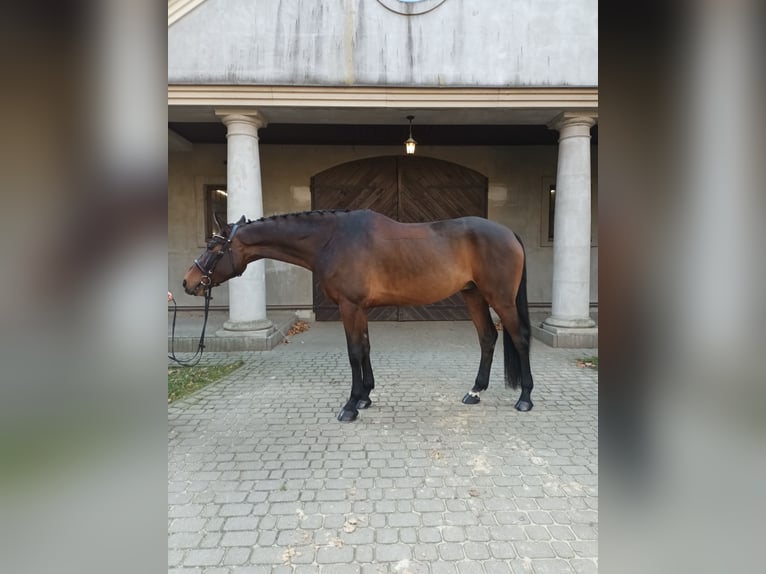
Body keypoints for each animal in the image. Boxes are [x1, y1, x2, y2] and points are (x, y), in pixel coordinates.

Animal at [182, 209, 534, 422]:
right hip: (473, 295)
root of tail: (510, 233)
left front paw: (350, 406)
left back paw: (525, 398)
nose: (188, 282)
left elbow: (353, 352)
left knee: (519, 338)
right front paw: (365, 396)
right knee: (488, 338)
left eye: (214, 249)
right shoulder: (359, 308)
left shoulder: (348, 306)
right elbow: (364, 348)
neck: (331, 239)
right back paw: (475, 392)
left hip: (501, 299)